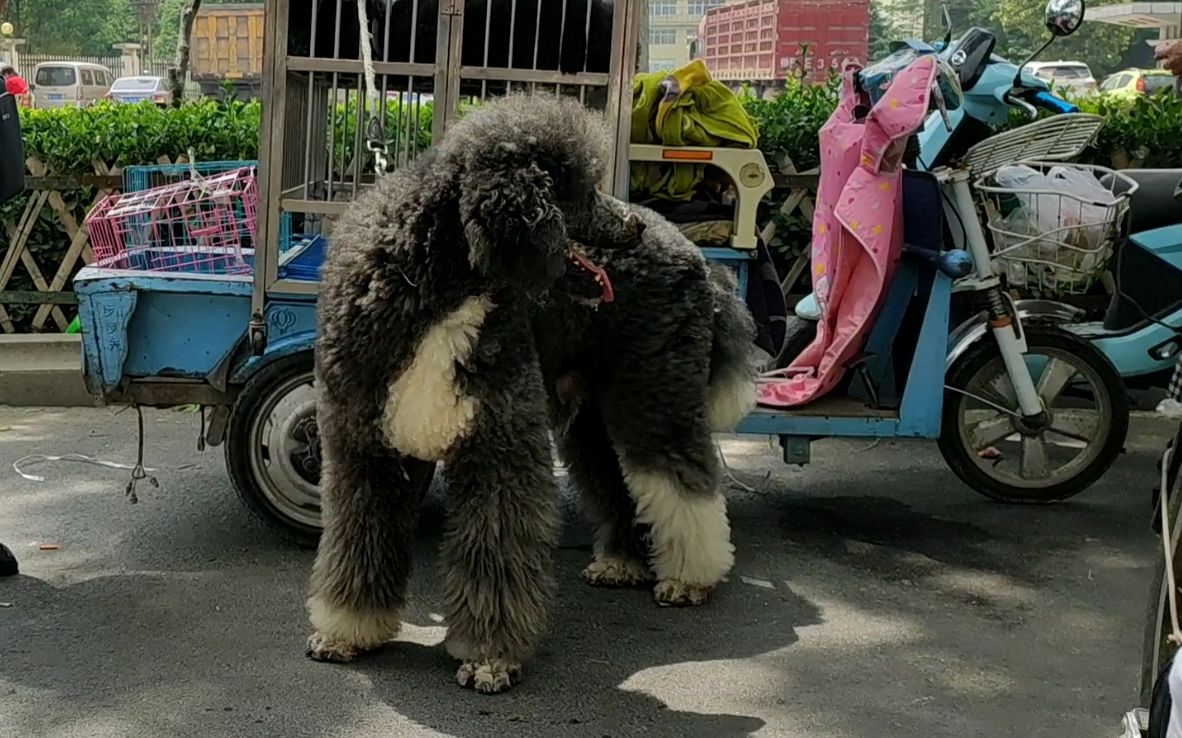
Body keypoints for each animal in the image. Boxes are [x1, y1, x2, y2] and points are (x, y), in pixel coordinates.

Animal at [302, 93, 647, 690]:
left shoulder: (497, 449)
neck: (439, 284)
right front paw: (349, 628)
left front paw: (489, 655)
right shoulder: (363, 448)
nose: (636, 223)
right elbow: (360, 536)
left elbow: (495, 552)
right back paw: (625, 560)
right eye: (579, 188)